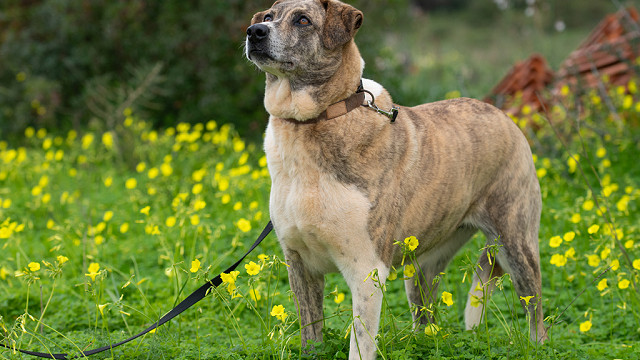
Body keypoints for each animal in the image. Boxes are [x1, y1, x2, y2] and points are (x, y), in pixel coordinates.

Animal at [245, 1, 544, 358]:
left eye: (303, 20)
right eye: (267, 17)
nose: (254, 32)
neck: (313, 123)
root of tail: (505, 116)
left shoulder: (365, 271)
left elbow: (359, 343)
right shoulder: (300, 266)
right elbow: (310, 333)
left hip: (516, 244)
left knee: (535, 311)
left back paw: (538, 344)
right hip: (424, 265)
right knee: (426, 318)